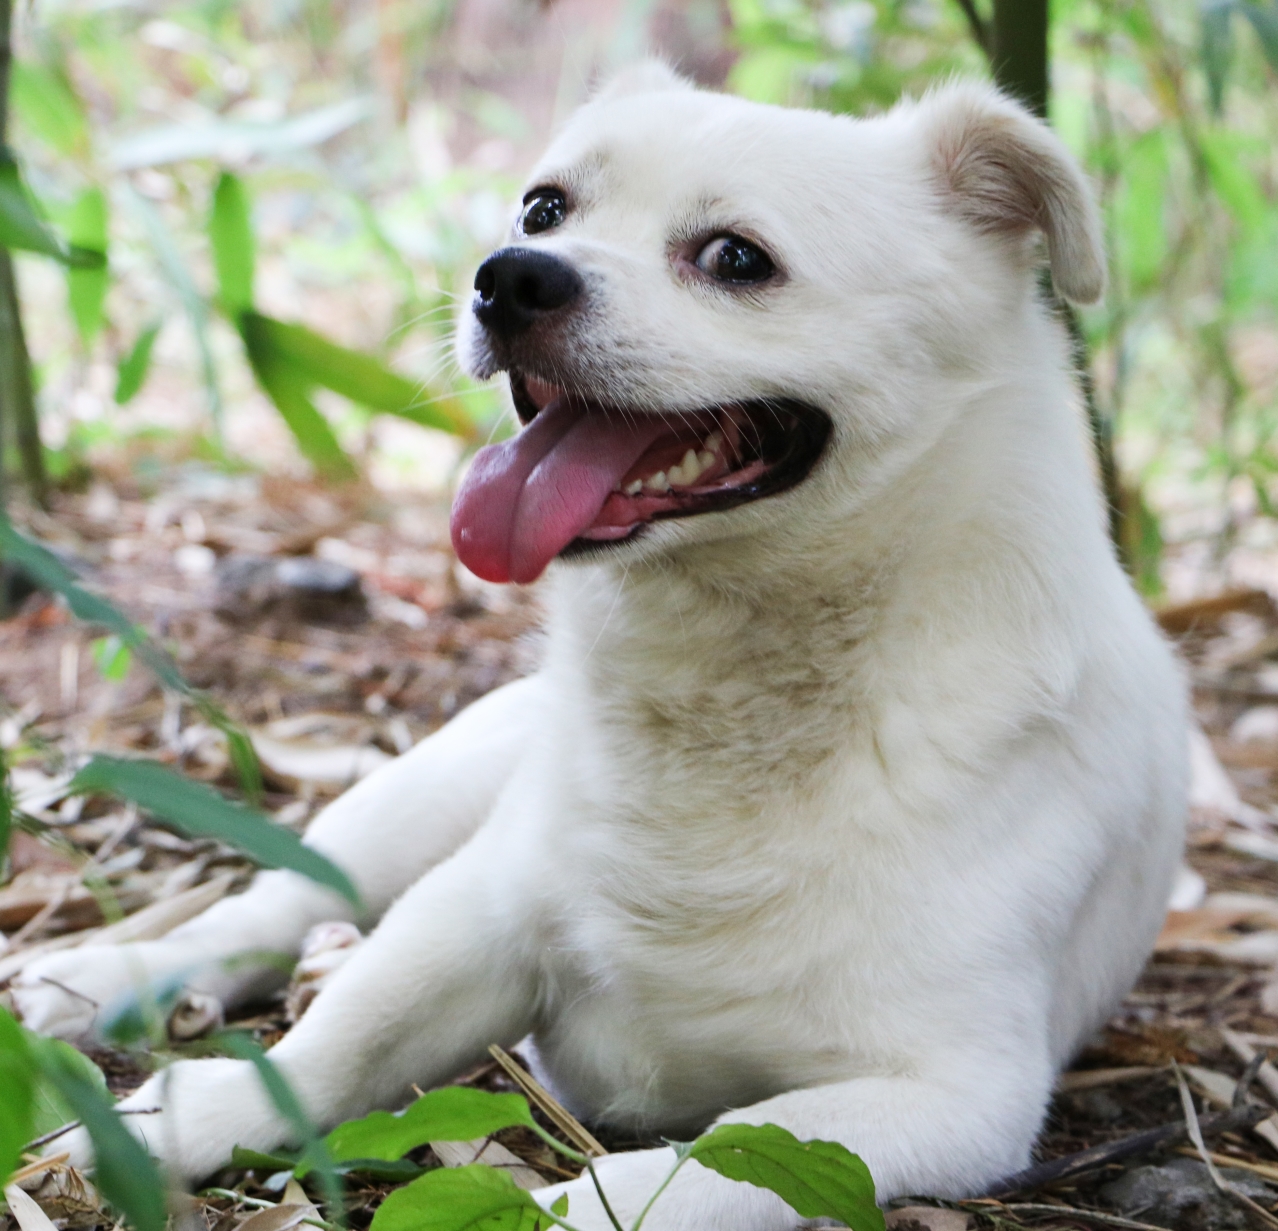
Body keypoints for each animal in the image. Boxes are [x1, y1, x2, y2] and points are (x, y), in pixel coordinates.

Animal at [12, 64, 1185, 1222]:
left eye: (736, 257)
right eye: (546, 208)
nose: (508, 278)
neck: (730, 687)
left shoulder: (948, 1098)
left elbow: (681, 1173)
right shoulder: (474, 915)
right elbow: (334, 1047)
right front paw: (166, 1123)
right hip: (412, 804)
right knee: (273, 903)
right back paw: (105, 975)